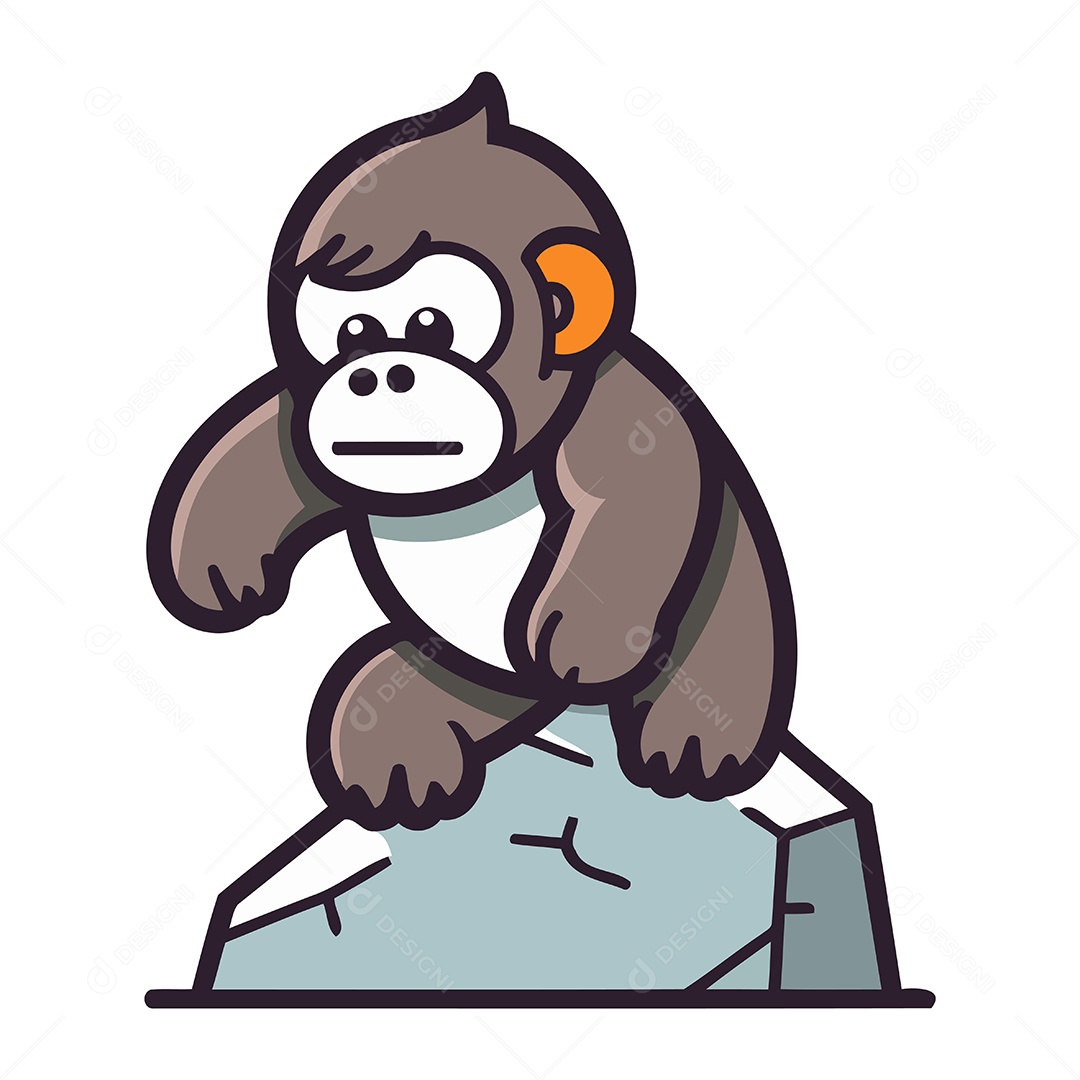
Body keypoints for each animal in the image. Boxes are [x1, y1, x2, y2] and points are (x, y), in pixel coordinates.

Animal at [146, 74, 913, 999]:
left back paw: (691, 743)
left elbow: (634, 498)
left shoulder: (620, 413)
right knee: (416, 693)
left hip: (733, 629)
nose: (376, 373)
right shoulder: (304, 413)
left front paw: (584, 636)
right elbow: (265, 439)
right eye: (353, 335)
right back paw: (398, 758)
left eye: (433, 326)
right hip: (466, 677)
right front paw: (213, 565)